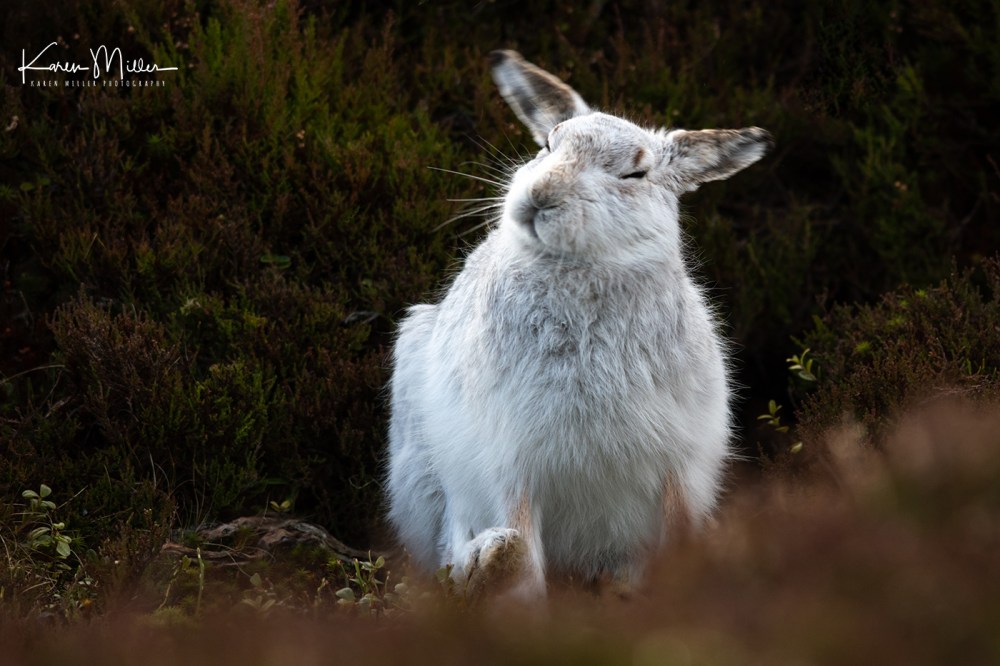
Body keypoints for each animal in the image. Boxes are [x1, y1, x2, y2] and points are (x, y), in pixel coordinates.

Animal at [386, 49, 771, 600]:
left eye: (635, 174)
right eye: (548, 144)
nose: (541, 194)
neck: (580, 270)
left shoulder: (678, 464)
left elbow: (678, 532)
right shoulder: (511, 464)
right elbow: (526, 553)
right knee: (449, 536)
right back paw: (484, 560)